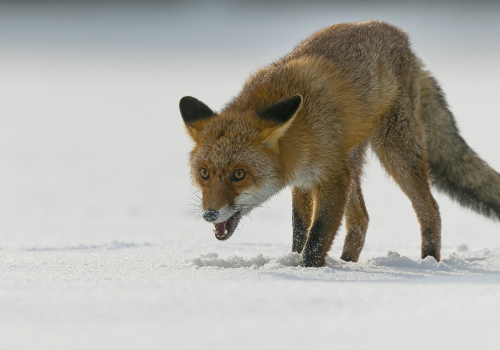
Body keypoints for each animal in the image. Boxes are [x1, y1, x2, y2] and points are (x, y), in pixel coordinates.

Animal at [179, 21, 500, 268]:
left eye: (239, 174)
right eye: (204, 173)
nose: (209, 214)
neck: (299, 127)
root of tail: (403, 39)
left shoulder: (332, 177)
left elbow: (317, 235)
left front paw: (308, 270)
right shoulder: (304, 179)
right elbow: (300, 229)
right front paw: (294, 261)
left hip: (394, 149)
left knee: (430, 208)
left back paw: (429, 263)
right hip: (354, 161)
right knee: (361, 220)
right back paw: (347, 264)